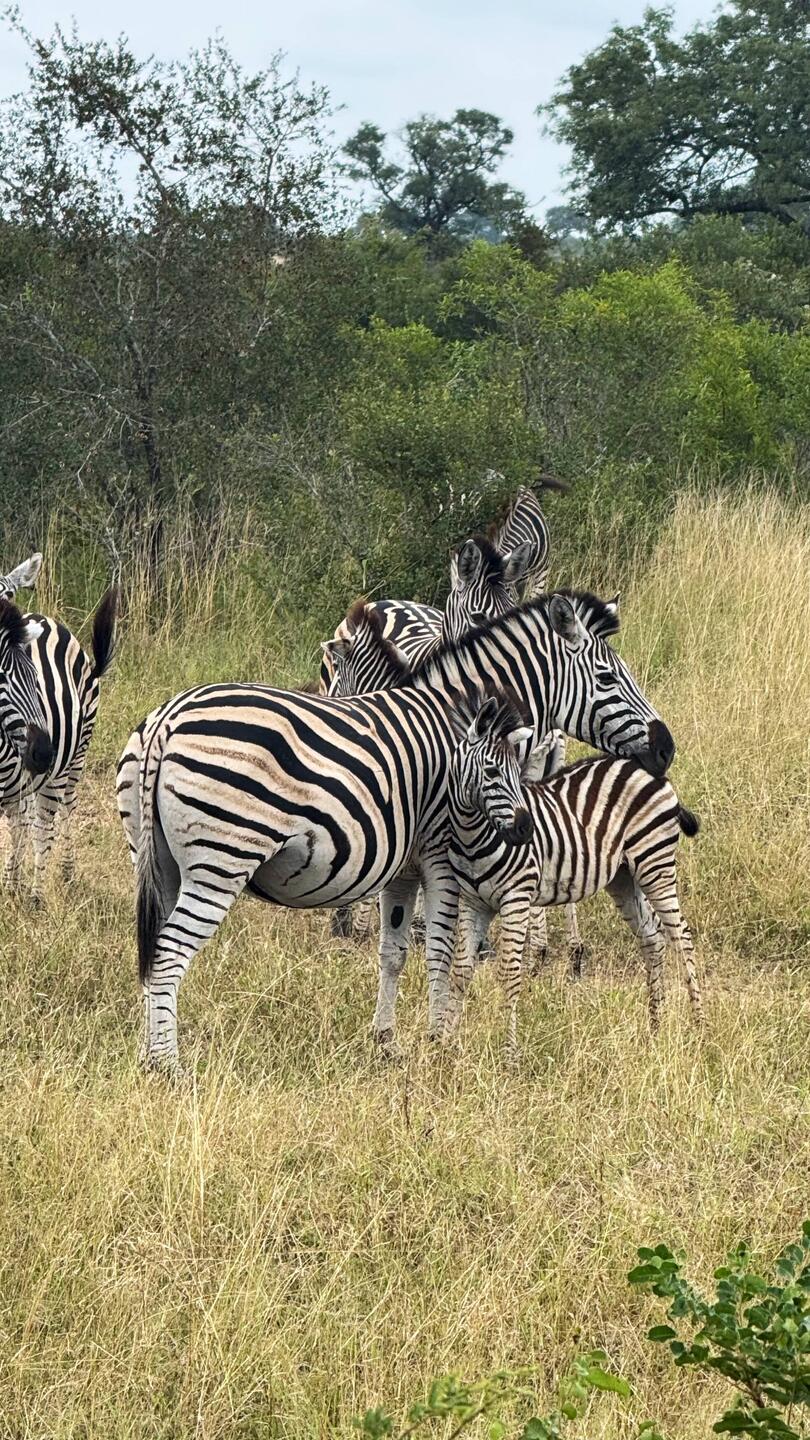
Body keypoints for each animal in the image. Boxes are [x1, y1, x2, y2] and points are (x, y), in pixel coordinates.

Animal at [2, 587, 119, 901]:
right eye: (1, 679)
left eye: (35, 680)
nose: (44, 752)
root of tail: (48, 621)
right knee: (27, 821)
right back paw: (15, 881)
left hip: (75, 758)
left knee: (57, 814)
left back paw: (48, 885)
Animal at [121, 588, 674, 1072]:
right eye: (607, 676)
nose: (666, 749)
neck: (459, 725)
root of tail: (167, 720)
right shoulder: (443, 857)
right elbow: (442, 952)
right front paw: (440, 1042)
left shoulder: (402, 869)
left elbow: (393, 953)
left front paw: (387, 1042)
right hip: (221, 860)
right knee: (168, 955)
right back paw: (169, 1068)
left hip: (157, 862)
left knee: (151, 956)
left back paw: (148, 1056)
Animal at [443, 694, 702, 1064]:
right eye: (491, 772)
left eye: (517, 773)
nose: (525, 829)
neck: (473, 838)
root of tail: (650, 771)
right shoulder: (473, 902)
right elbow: (460, 972)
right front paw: (443, 1045)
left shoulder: (516, 898)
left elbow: (509, 974)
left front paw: (509, 1056)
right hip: (623, 876)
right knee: (653, 937)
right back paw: (655, 1027)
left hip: (655, 862)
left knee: (682, 936)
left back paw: (699, 1027)